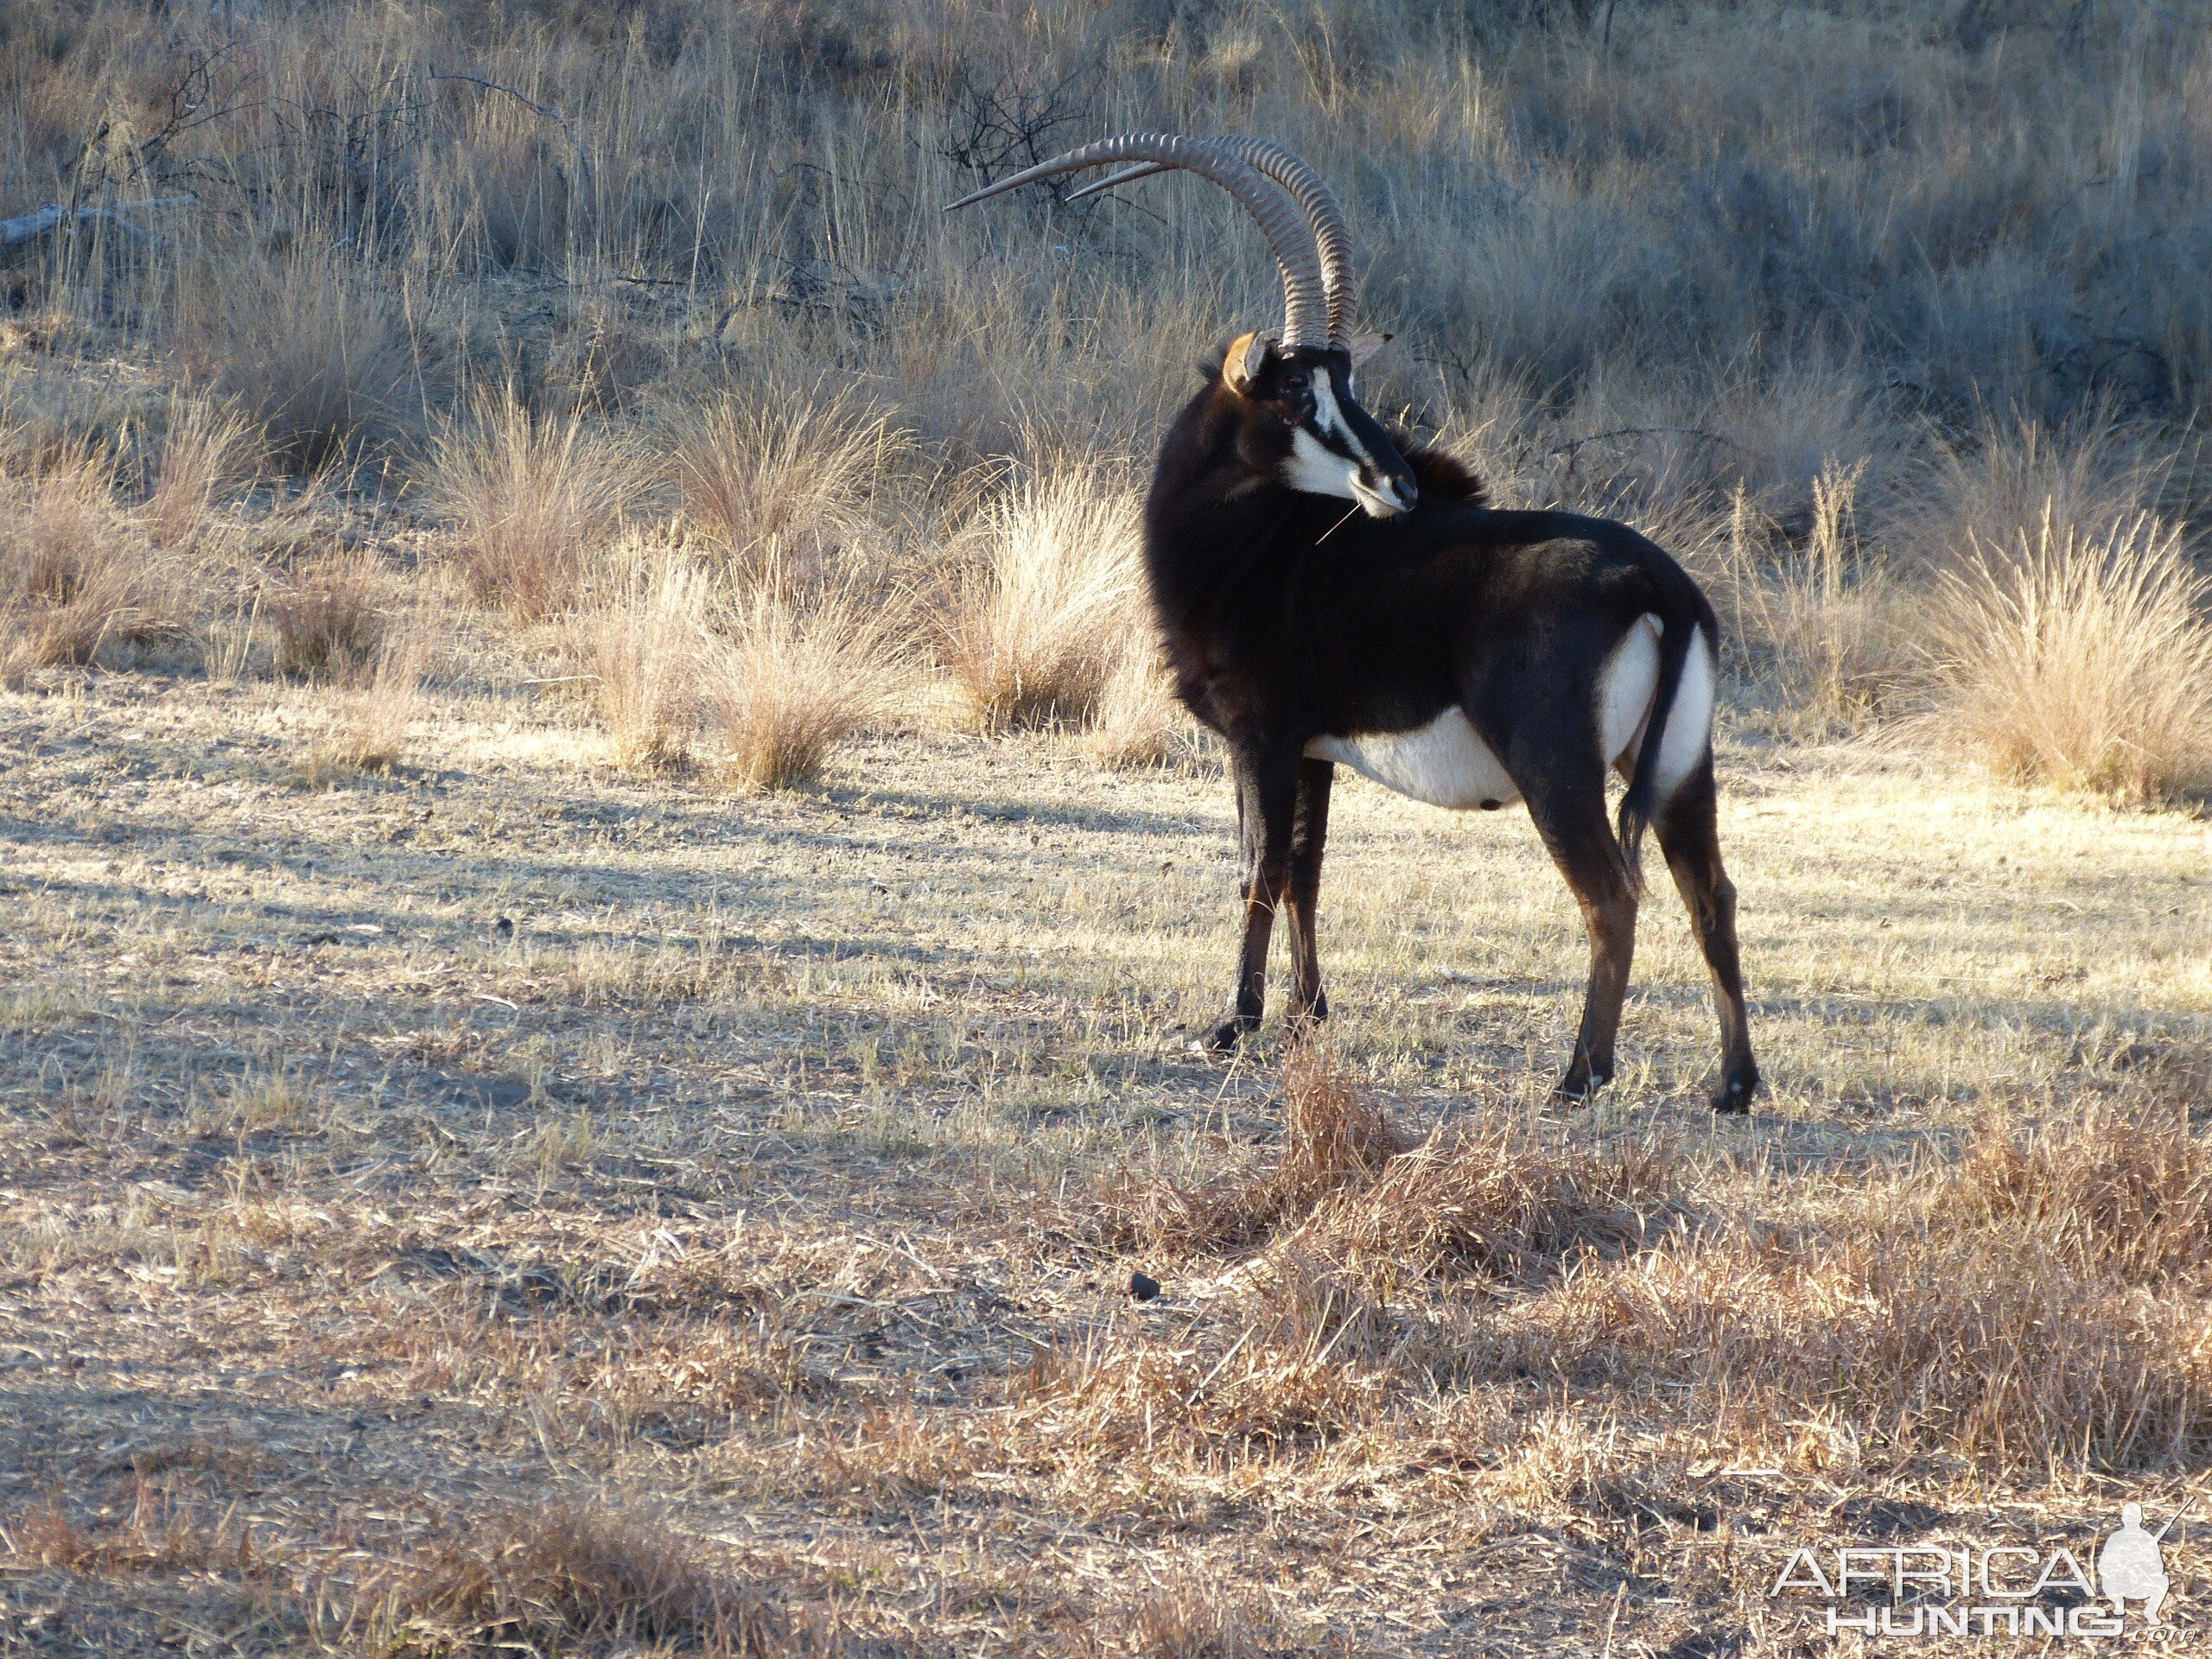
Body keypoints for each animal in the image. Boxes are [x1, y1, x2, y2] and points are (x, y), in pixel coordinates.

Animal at [950, 133, 1760, 1119]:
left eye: (1342, 385)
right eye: (1300, 393)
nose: (1400, 485)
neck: (1255, 545)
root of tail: (1662, 584)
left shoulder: (1258, 736)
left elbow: (1257, 866)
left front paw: (1233, 1025)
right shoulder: (1314, 750)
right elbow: (1307, 868)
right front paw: (1309, 1018)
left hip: (1555, 767)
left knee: (1612, 896)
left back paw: (1579, 1076)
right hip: (1679, 769)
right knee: (1710, 893)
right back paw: (1733, 1086)